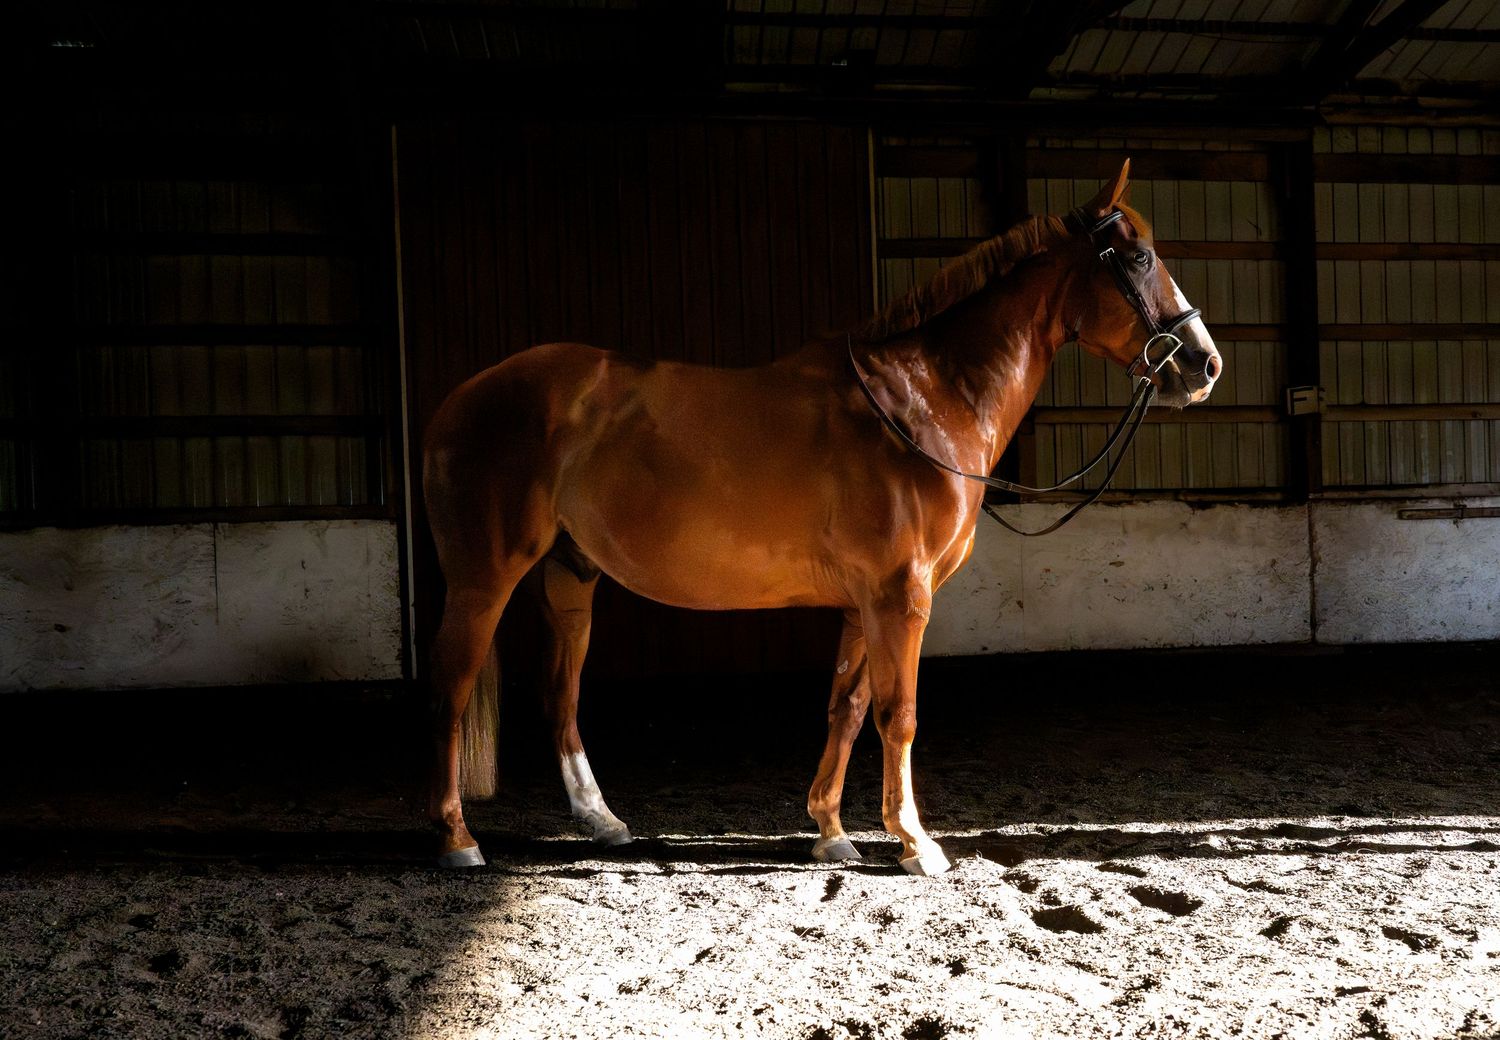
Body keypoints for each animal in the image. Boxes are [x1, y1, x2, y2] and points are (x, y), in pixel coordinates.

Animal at [421, 160, 1221, 876]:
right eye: (1140, 256)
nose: (1204, 364)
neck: (922, 401)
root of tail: (460, 399)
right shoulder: (904, 597)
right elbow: (899, 714)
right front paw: (915, 844)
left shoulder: (865, 602)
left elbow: (849, 703)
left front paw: (831, 831)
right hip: (485, 578)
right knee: (453, 687)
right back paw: (458, 840)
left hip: (571, 577)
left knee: (562, 692)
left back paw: (602, 821)